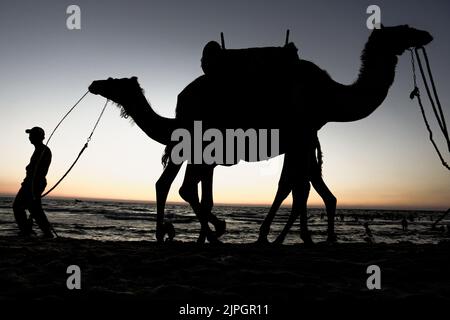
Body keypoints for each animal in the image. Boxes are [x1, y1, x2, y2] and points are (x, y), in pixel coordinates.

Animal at [89, 25, 432, 244]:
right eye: (403, 30)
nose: (426, 35)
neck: (330, 96)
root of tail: (182, 98)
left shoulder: (299, 137)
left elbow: (293, 187)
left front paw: (279, 235)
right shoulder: (298, 135)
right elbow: (292, 187)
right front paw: (268, 235)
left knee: (175, 185)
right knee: (178, 185)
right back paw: (197, 235)